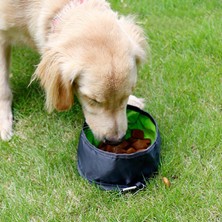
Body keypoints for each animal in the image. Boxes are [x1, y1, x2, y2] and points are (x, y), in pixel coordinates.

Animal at [1, 0, 147, 144]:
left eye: (127, 94)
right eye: (92, 100)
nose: (116, 140)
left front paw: (133, 100)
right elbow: (3, 88)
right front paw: (4, 121)